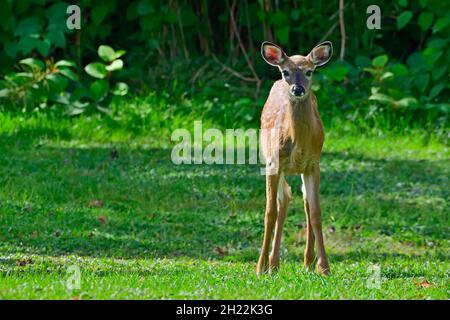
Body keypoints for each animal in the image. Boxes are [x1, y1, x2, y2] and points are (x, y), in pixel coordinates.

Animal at [256, 40, 334, 276]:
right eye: (286, 72)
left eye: (309, 71)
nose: (297, 89)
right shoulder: (273, 163)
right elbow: (269, 212)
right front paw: (260, 267)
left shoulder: (313, 164)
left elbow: (316, 212)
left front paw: (324, 267)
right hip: (269, 157)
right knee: (284, 199)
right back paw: (272, 264)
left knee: (304, 202)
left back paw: (307, 262)